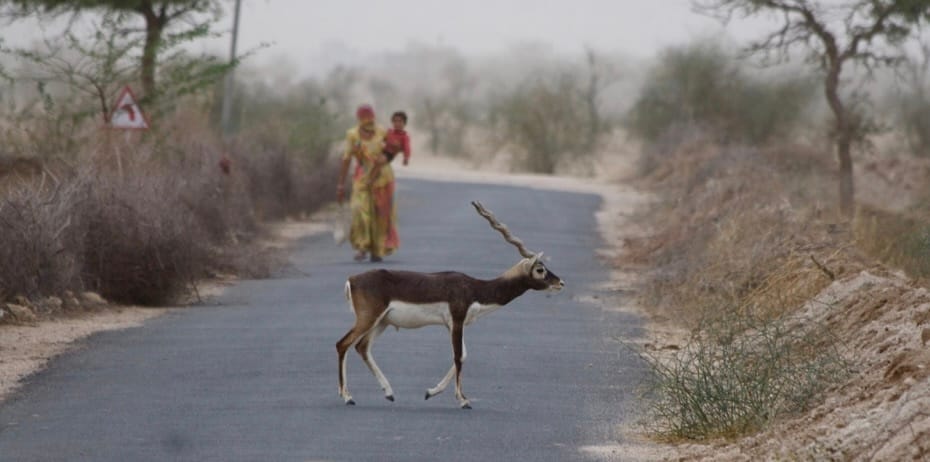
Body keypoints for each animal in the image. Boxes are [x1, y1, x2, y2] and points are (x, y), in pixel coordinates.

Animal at [336, 201, 565, 409]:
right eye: (540, 269)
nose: (560, 283)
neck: (476, 289)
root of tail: (352, 279)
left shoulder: (452, 324)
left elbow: (464, 355)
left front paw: (430, 392)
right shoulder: (457, 318)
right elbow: (458, 356)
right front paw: (463, 400)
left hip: (382, 322)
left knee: (362, 347)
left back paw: (389, 393)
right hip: (369, 318)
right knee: (343, 344)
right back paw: (347, 397)